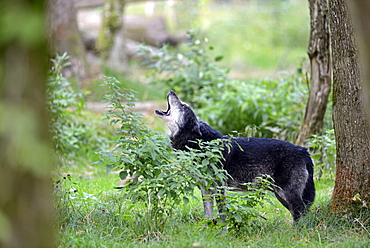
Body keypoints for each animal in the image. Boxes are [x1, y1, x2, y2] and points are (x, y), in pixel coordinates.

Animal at [155, 90, 314, 222]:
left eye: (182, 106)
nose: (171, 91)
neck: (199, 142)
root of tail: (303, 150)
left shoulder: (220, 186)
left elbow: (222, 214)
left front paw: (222, 232)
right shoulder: (206, 189)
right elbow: (208, 216)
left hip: (287, 193)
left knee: (301, 211)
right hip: (280, 195)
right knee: (299, 212)